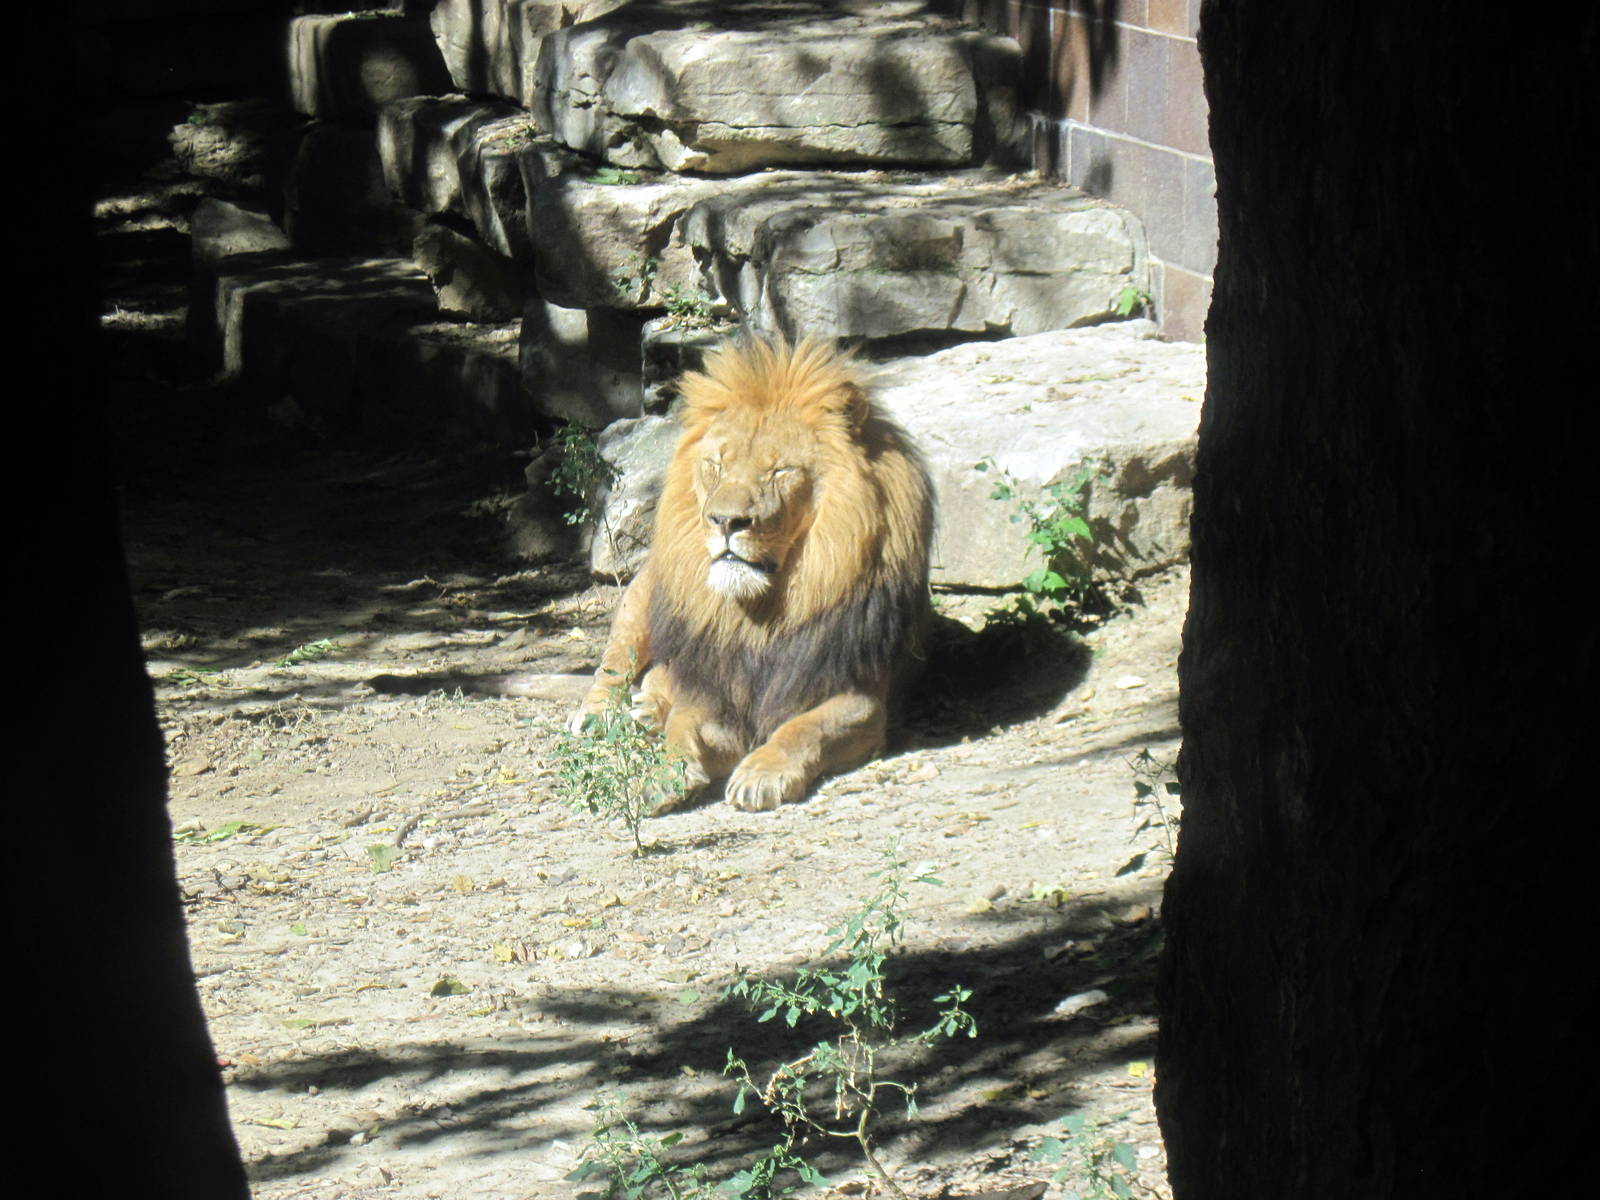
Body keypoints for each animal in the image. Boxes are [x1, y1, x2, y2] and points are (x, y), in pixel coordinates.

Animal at [569, 336, 934, 812]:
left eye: (779, 471)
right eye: (716, 465)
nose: (726, 520)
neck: (762, 610)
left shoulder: (863, 700)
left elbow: (804, 727)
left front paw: (762, 774)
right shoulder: (713, 687)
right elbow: (682, 725)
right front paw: (662, 776)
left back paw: (647, 709)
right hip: (641, 601)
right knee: (614, 667)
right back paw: (601, 714)